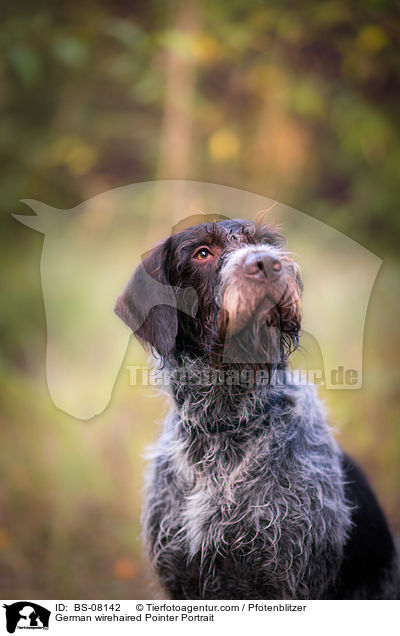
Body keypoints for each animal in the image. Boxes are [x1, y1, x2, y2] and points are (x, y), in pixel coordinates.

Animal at [114, 216, 398, 600]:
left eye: (265, 243)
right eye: (202, 253)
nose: (267, 263)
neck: (224, 426)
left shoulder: (290, 582)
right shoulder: (182, 579)